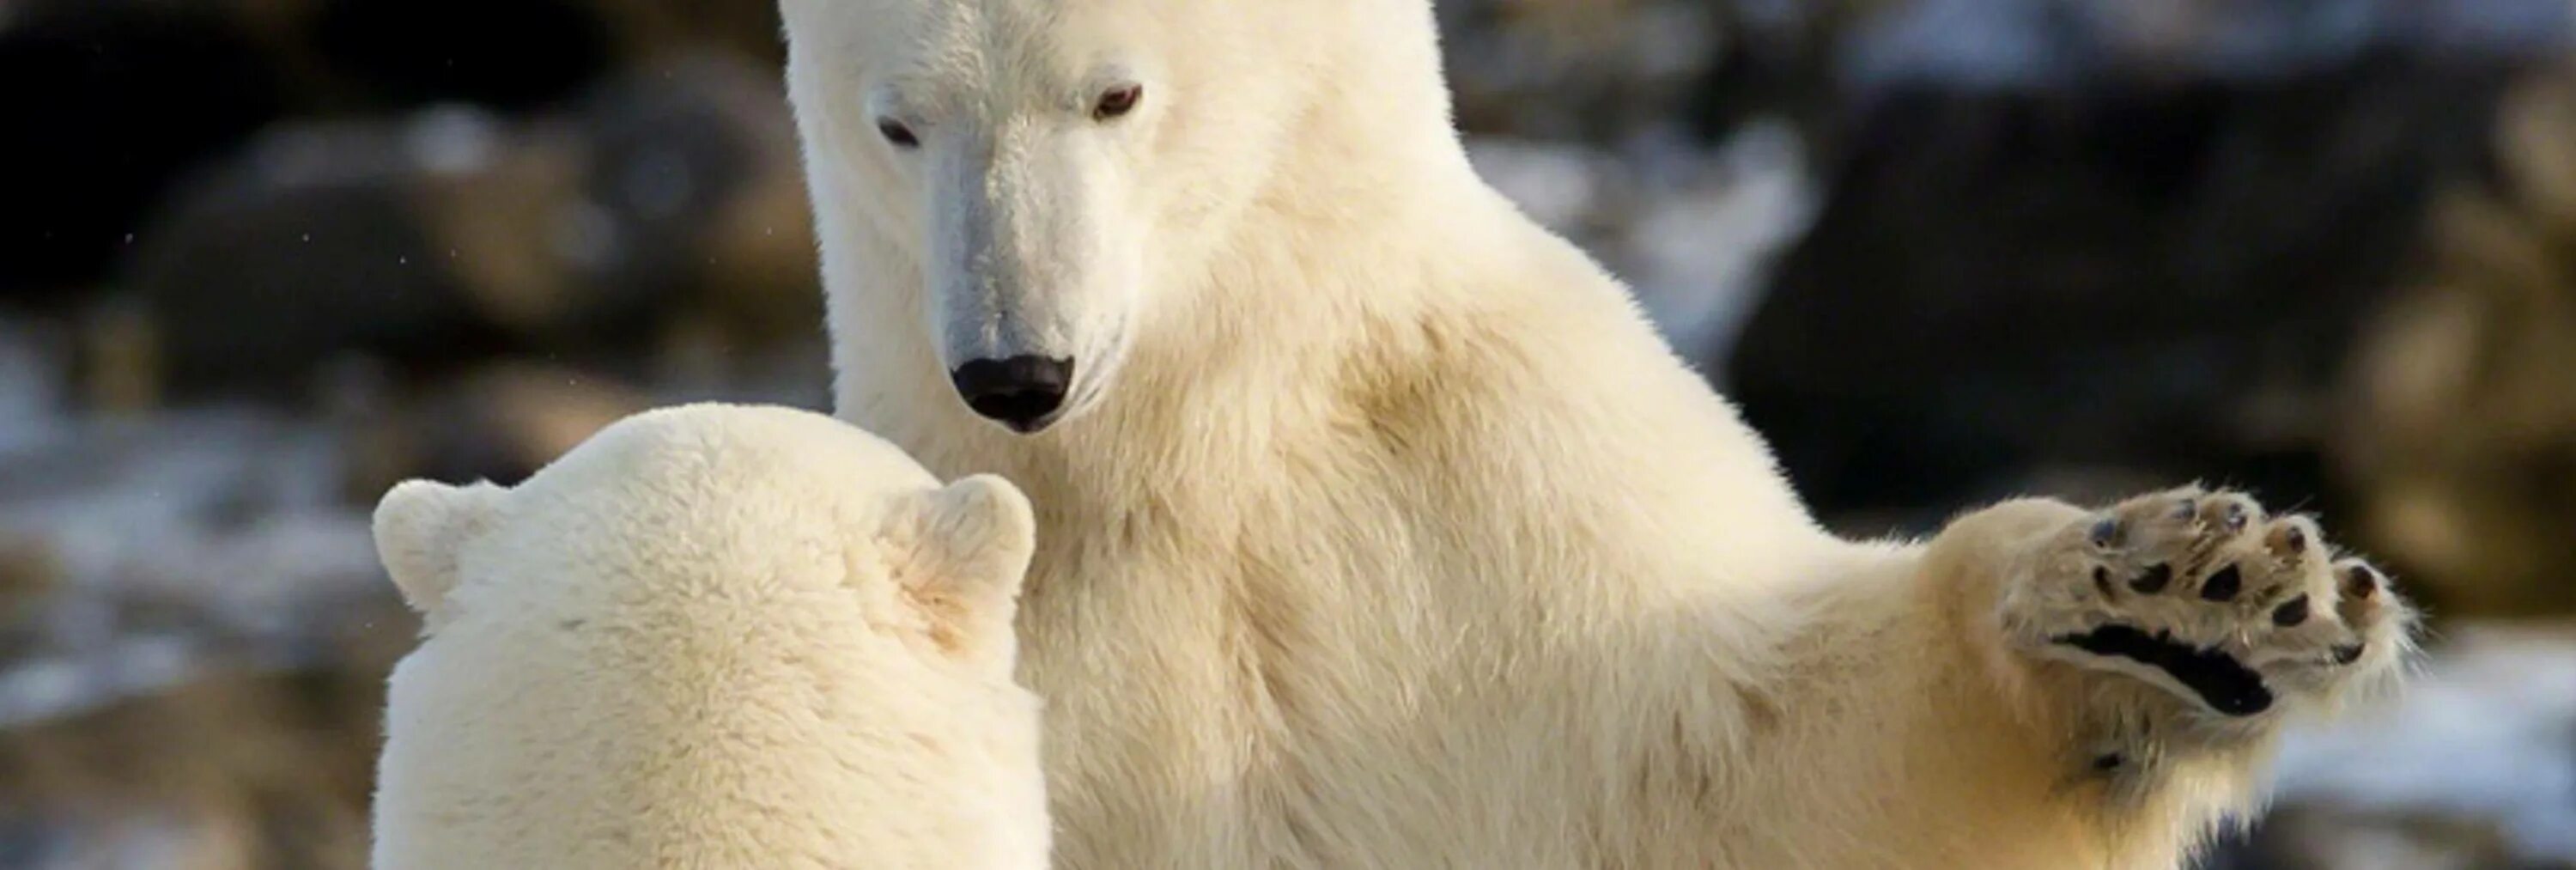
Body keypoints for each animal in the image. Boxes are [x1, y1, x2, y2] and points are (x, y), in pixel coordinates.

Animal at [778, 3, 2411, 865]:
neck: (1192, 428)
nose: (1016, 370)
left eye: (1114, 94)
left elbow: (1775, 761)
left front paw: (2190, 604)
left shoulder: (1501, 495)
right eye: (898, 124)